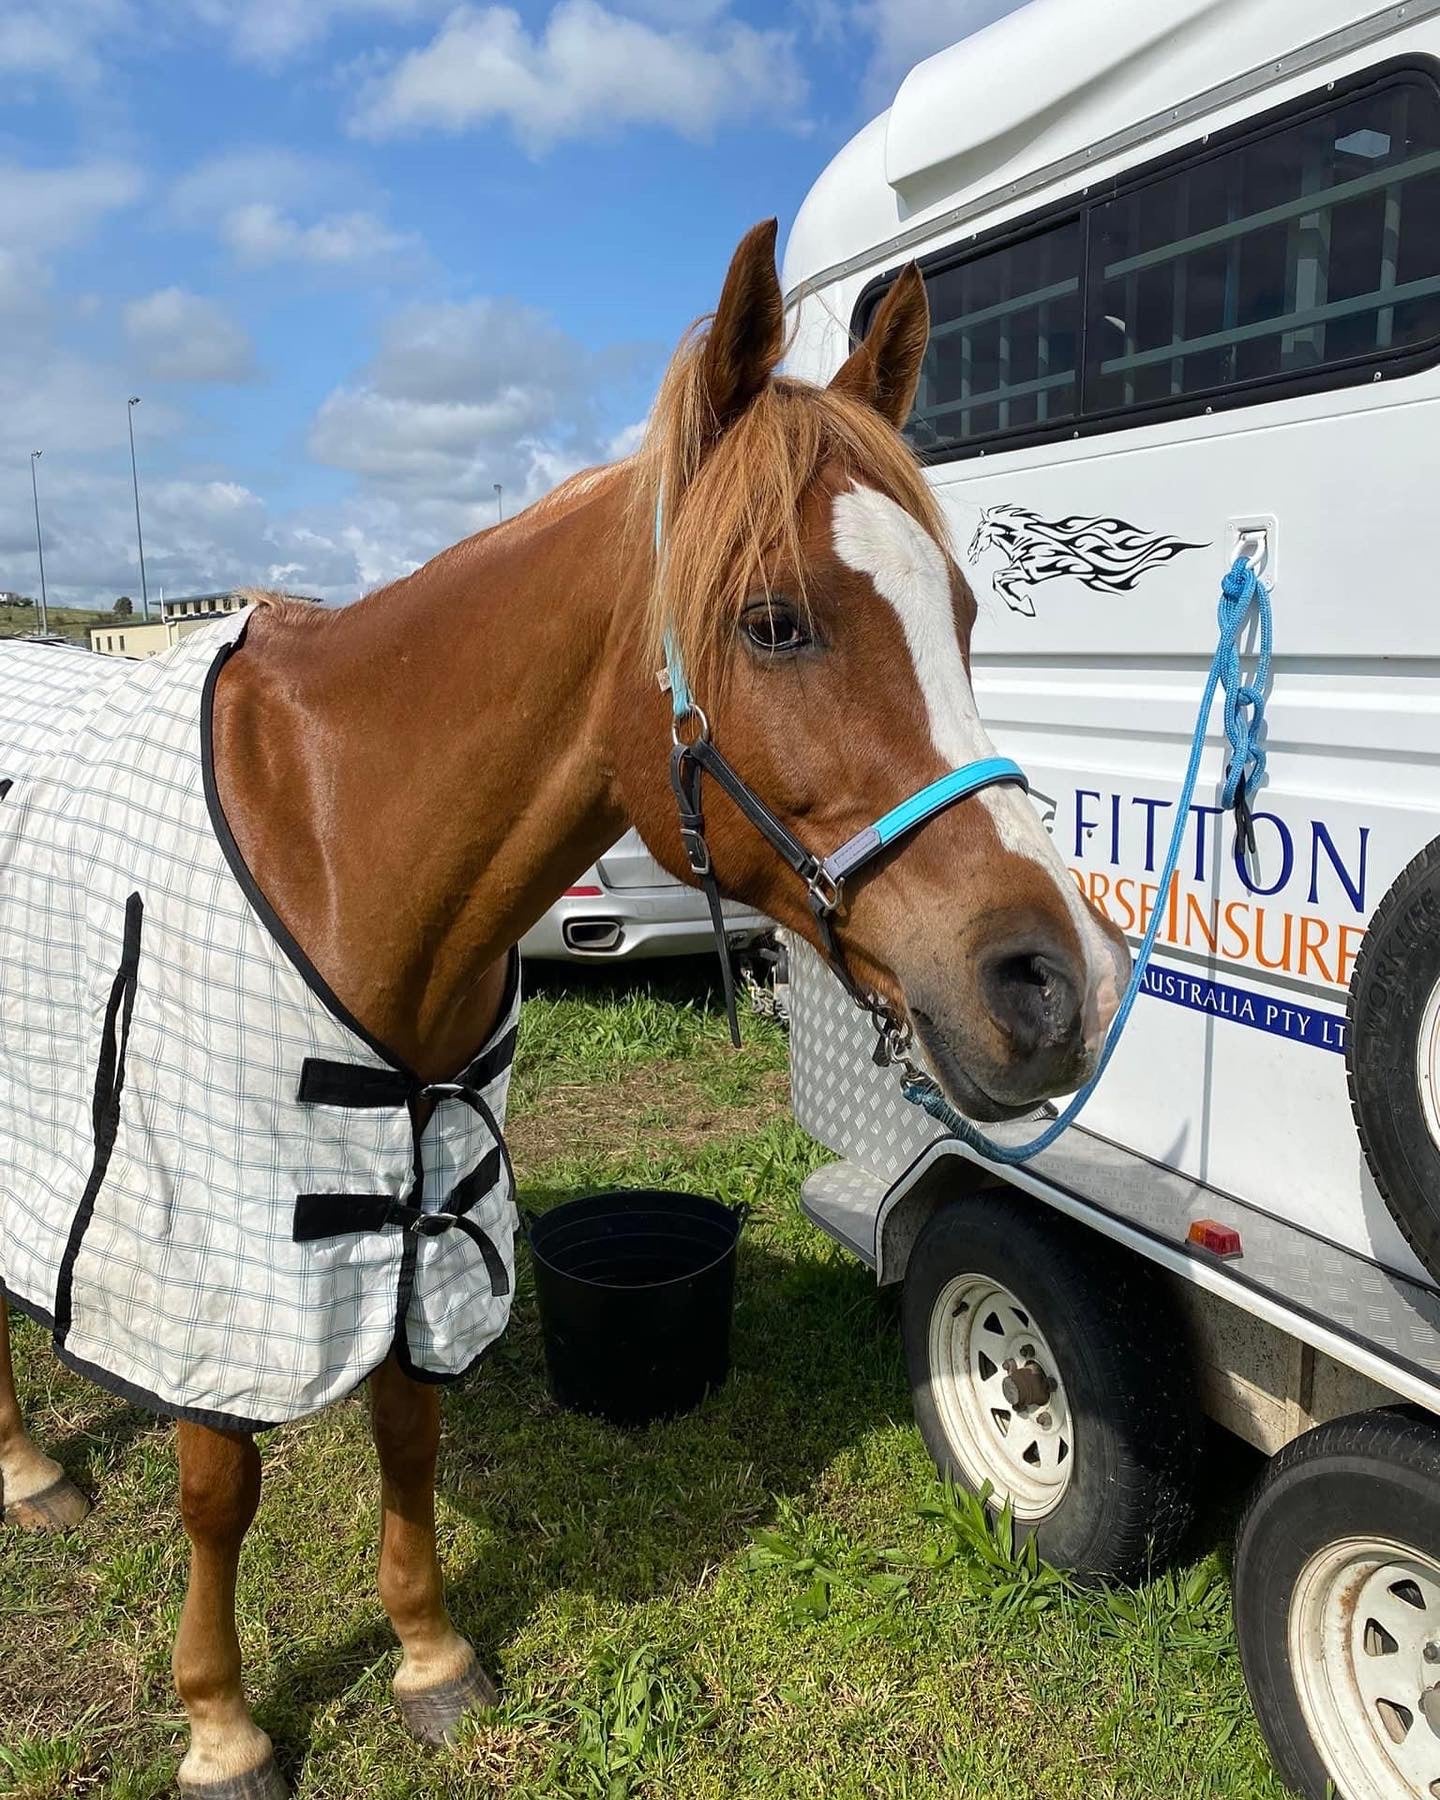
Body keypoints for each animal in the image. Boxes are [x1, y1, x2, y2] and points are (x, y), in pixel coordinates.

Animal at [0, 219, 1128, 1796]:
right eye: (773, 622)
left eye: (960, 616)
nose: (1056, 982)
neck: (339, 837)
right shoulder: (214, 1247)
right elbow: (221, 1484)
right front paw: (221, 1723)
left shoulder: (421, 1187)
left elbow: (408, 1424)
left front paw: (428, 1654)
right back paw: (32, 1470)